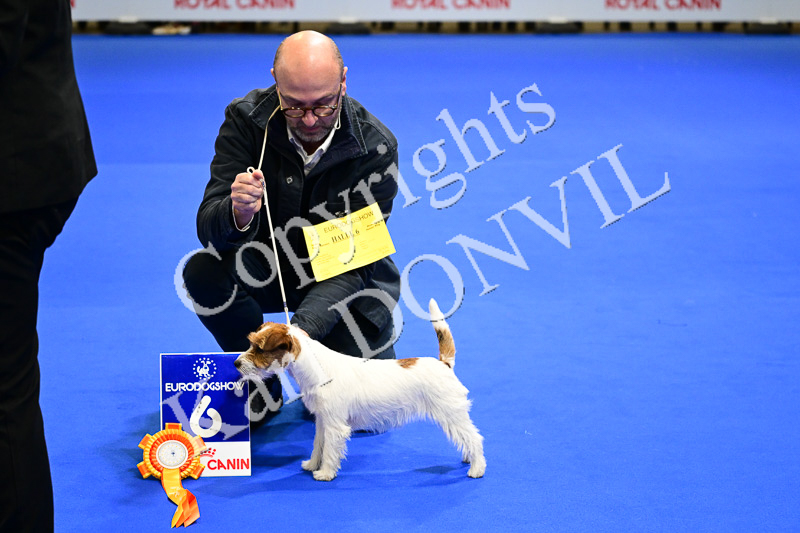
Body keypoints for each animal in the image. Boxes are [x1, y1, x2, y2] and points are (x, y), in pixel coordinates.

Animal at [234, 299, 486, 481]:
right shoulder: (322, 420)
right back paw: (468, 459)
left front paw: (325, 473)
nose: (236, 363)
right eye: (251, 343)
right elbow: (318, 445)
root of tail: (444, 363)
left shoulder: (335, 425)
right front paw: (312, 464)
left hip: (451, 412)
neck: (316, 368)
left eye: (259, 348)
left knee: (474, 437)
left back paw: (476, 468)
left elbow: (330, 450)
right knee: (467, 437)